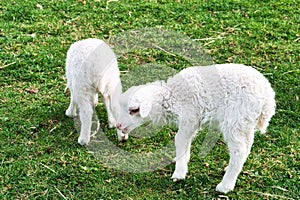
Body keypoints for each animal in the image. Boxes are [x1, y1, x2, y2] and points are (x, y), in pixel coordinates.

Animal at [116, 63, 276, 194]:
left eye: (134, 110)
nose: (118, 125)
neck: (171, 96)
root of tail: (268, 98)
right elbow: (185, 142)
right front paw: (182, 160)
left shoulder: (190, 117)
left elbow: (179, 139)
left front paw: (179, 173)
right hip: (245, 122)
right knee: (247, 145)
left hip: (235, 120)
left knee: (239, 151)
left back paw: (225, 186)